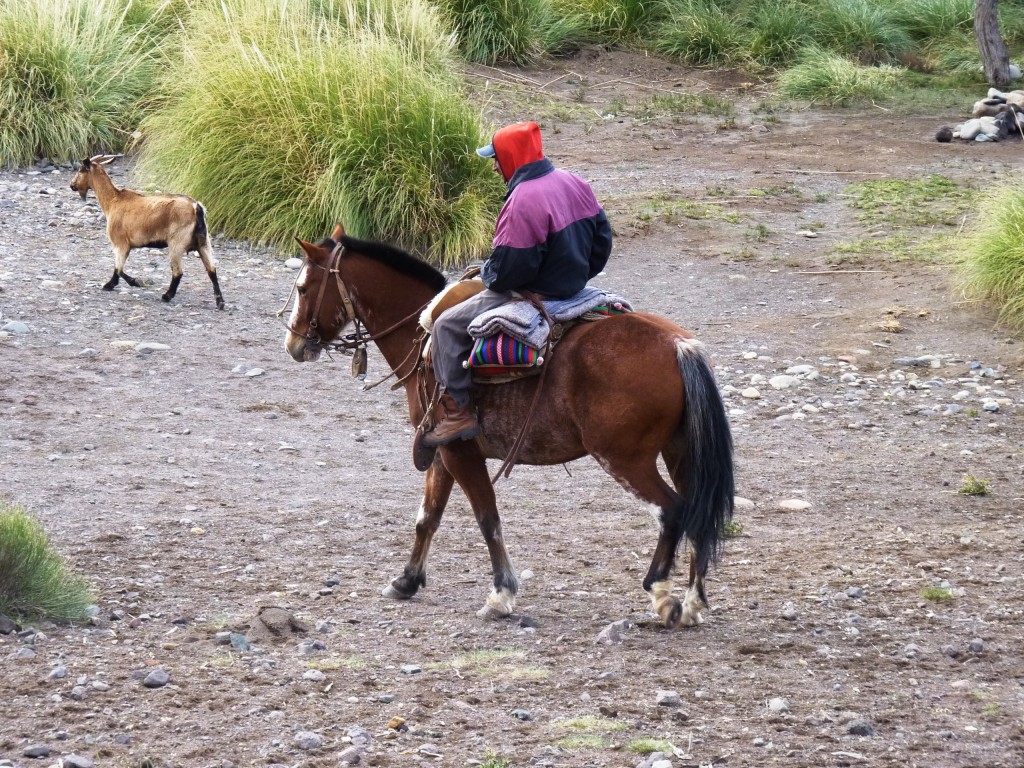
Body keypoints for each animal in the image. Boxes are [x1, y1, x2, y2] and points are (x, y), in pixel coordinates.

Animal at [70, 153, 226, 309]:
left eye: (80, 170)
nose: (72, 185)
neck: (114, 201)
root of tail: (196, 207)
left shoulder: (120, 243)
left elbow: (118, 268)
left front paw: (116, 284)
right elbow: (119, 268)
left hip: (176, 244)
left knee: (178, 272)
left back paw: (167, 296)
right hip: (203, 243)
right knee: (212, 270)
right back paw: (220, 302)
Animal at [284, 221, 733, 626]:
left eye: (304, 288)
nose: (293, 343)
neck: (422, 336)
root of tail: (679, 345)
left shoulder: (459, 451)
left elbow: (487, 519)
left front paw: (501, 595)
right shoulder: (441, 452)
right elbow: (427, 517)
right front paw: (407, 580)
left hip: (625, 460)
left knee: (673, 511)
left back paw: (661, 594)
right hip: (679, 452)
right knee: (698, 512)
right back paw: (692, 603)